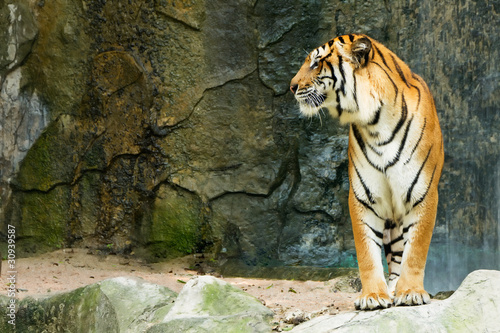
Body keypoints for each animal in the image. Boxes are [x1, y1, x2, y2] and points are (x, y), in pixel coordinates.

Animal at [292, 33, 444, 308]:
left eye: (316, 63)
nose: (291, 86)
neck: (376, 122)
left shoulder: (422, 193)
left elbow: (416, 250)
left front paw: (411, 292)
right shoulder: (364, 196)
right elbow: (367, 252)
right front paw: (373, 296)